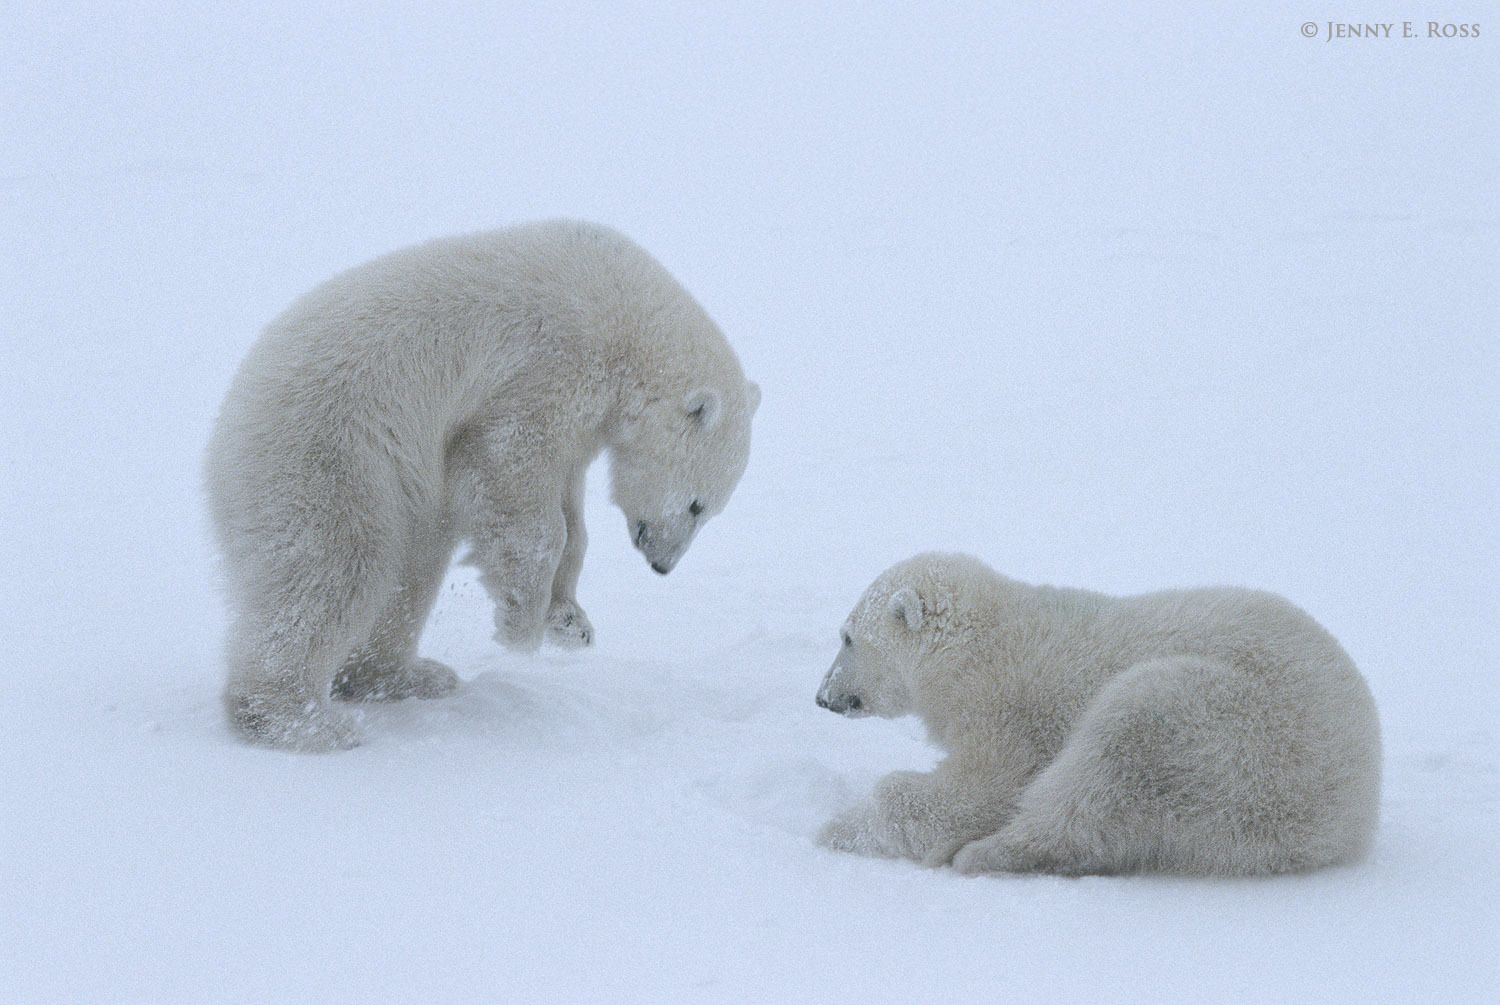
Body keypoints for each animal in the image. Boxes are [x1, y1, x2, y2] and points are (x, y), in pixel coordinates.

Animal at [208, 222, 762, 756]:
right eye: (697, 504)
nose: (662, 566)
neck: (627, 317)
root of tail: (226, 426)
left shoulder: (580, 425)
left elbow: (570, 512)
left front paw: (571, 622)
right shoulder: (548, 364)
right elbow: (509, 466)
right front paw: (522, 624)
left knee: (410, 568)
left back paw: (407, 676)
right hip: (333, 449)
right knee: (332, 568)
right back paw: (301, 723)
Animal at [822, 555, 1380, 876]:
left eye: (847, 637)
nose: (822, 697)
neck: (983, 644)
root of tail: (1353, 820)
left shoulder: (1010, 711)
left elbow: (979, 792)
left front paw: (836, 829)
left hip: (1244, 744)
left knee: (1111, 762)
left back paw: (986, 854)